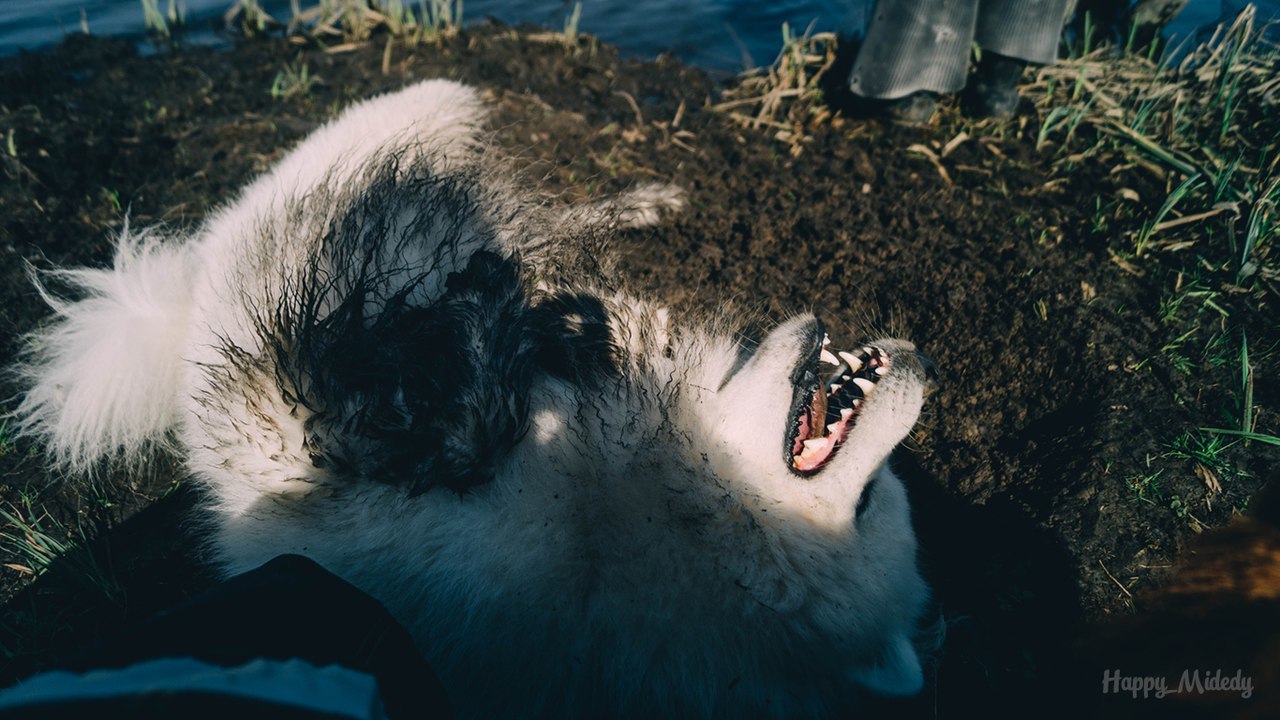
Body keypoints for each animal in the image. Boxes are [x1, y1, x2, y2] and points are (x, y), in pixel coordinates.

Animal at [7, 81, 931, 712]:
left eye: (869, 506)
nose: (924, 365)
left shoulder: (339, 450)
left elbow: (439, 412)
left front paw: (506, 316)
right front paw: (585, 317)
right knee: (532, 202)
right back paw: (618, 208)